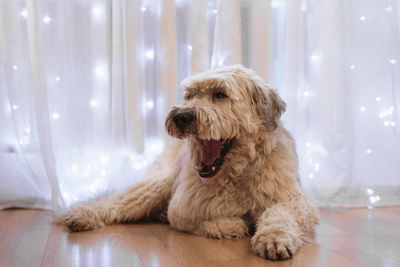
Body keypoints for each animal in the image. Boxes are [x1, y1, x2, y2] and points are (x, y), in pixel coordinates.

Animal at [63, 65, 318, 262]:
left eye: (220, 94)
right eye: (190, 95)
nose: (181, 116)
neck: (238, 172)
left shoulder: (291, 200)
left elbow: (280, 214)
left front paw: (273, 239)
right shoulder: (185, 207)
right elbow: (217, 222)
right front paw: (236, 224)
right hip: (157, 184)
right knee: (118, 201)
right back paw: (83, 215)